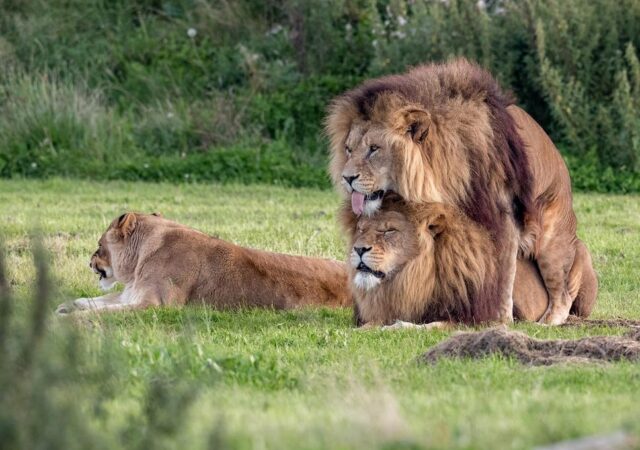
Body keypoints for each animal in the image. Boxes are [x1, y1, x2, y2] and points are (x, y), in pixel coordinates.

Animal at [57, 212, 352, 312]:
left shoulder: (155, 305)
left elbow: (103, 312)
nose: (89, 262)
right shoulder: (130, 294)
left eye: (99, 246)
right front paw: (64, 306)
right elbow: (90, 301)